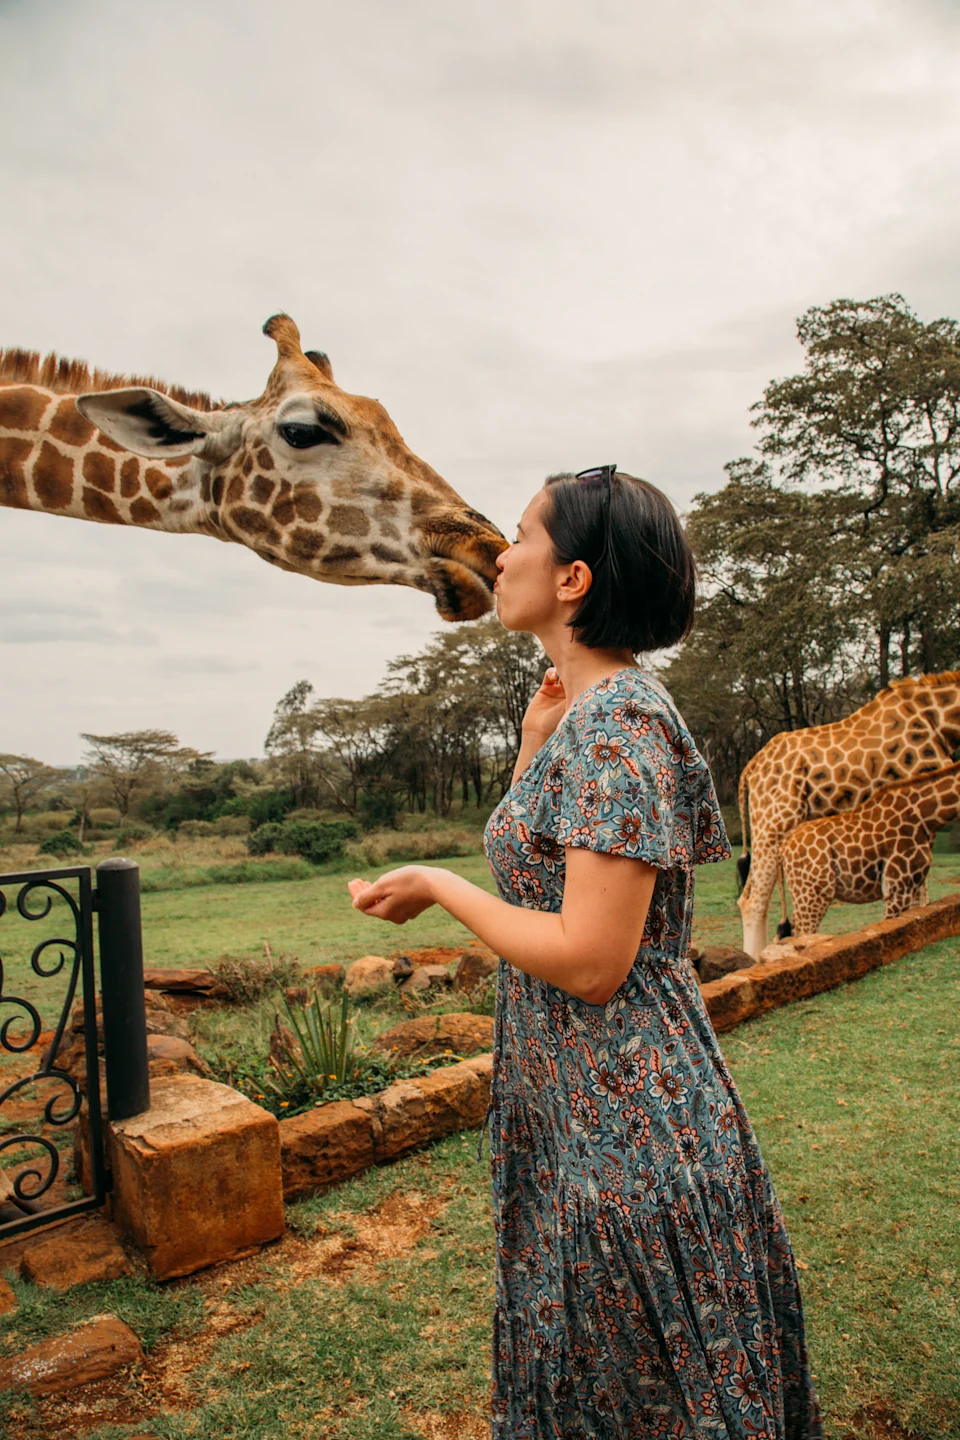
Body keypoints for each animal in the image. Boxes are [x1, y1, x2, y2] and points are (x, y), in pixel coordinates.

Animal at [777, 760, 960, 934]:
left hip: (802, 894)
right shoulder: (897, 887)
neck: (926, 817)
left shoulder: (913, 885)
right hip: (814, 894)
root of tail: (784, 845)